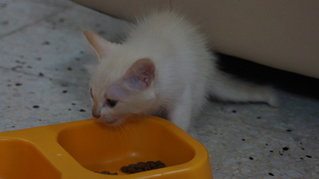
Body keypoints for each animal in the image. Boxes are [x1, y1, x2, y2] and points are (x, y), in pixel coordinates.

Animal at [83, 11, 278, 131]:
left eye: (112, 102)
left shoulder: (182, 91)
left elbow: (180, 120)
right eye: (91, 94)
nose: (95, 114)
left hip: (198, 86)